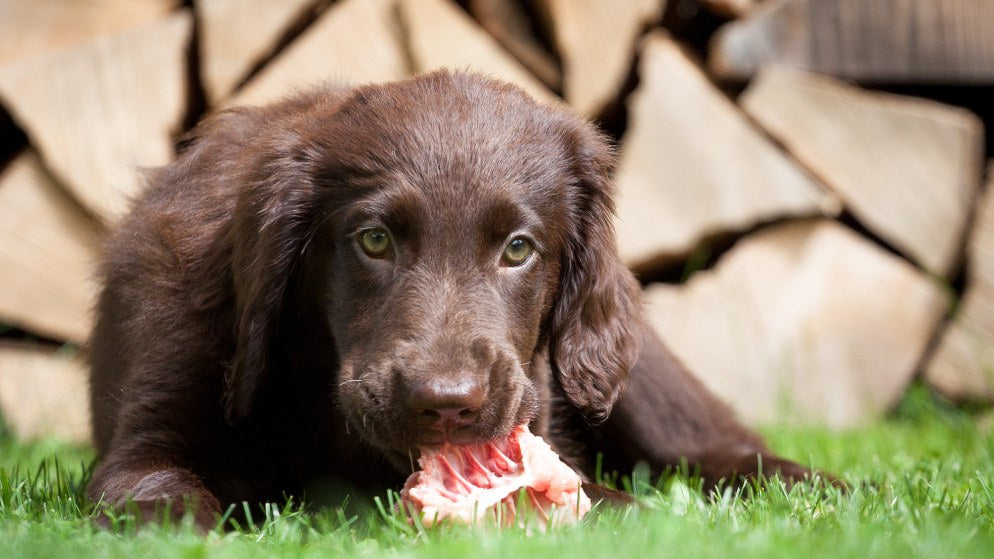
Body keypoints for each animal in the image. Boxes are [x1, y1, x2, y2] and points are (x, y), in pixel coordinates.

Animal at [85, 71, 816, 532]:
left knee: (713, 445)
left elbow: (607, 498)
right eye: (374, 240)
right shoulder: (151, 432)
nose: (446, 403)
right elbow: (160, 500)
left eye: (518, 248)